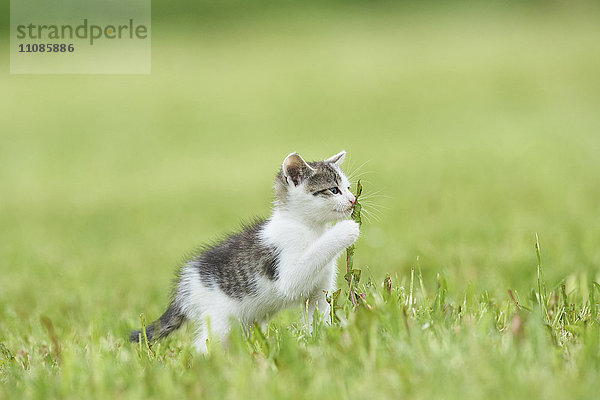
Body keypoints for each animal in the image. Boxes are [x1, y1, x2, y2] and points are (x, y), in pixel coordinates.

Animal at [129, 151, 358, 354]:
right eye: (333, 190)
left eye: (347, 188)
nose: (353, 200)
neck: (308, 226)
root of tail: (186, 284)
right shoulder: (287, 269)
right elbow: (296, 276)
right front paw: (347, 229)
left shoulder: (318, 292)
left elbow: (318, 315)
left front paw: (322, 341)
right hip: (220, 316)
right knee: (205, 344)